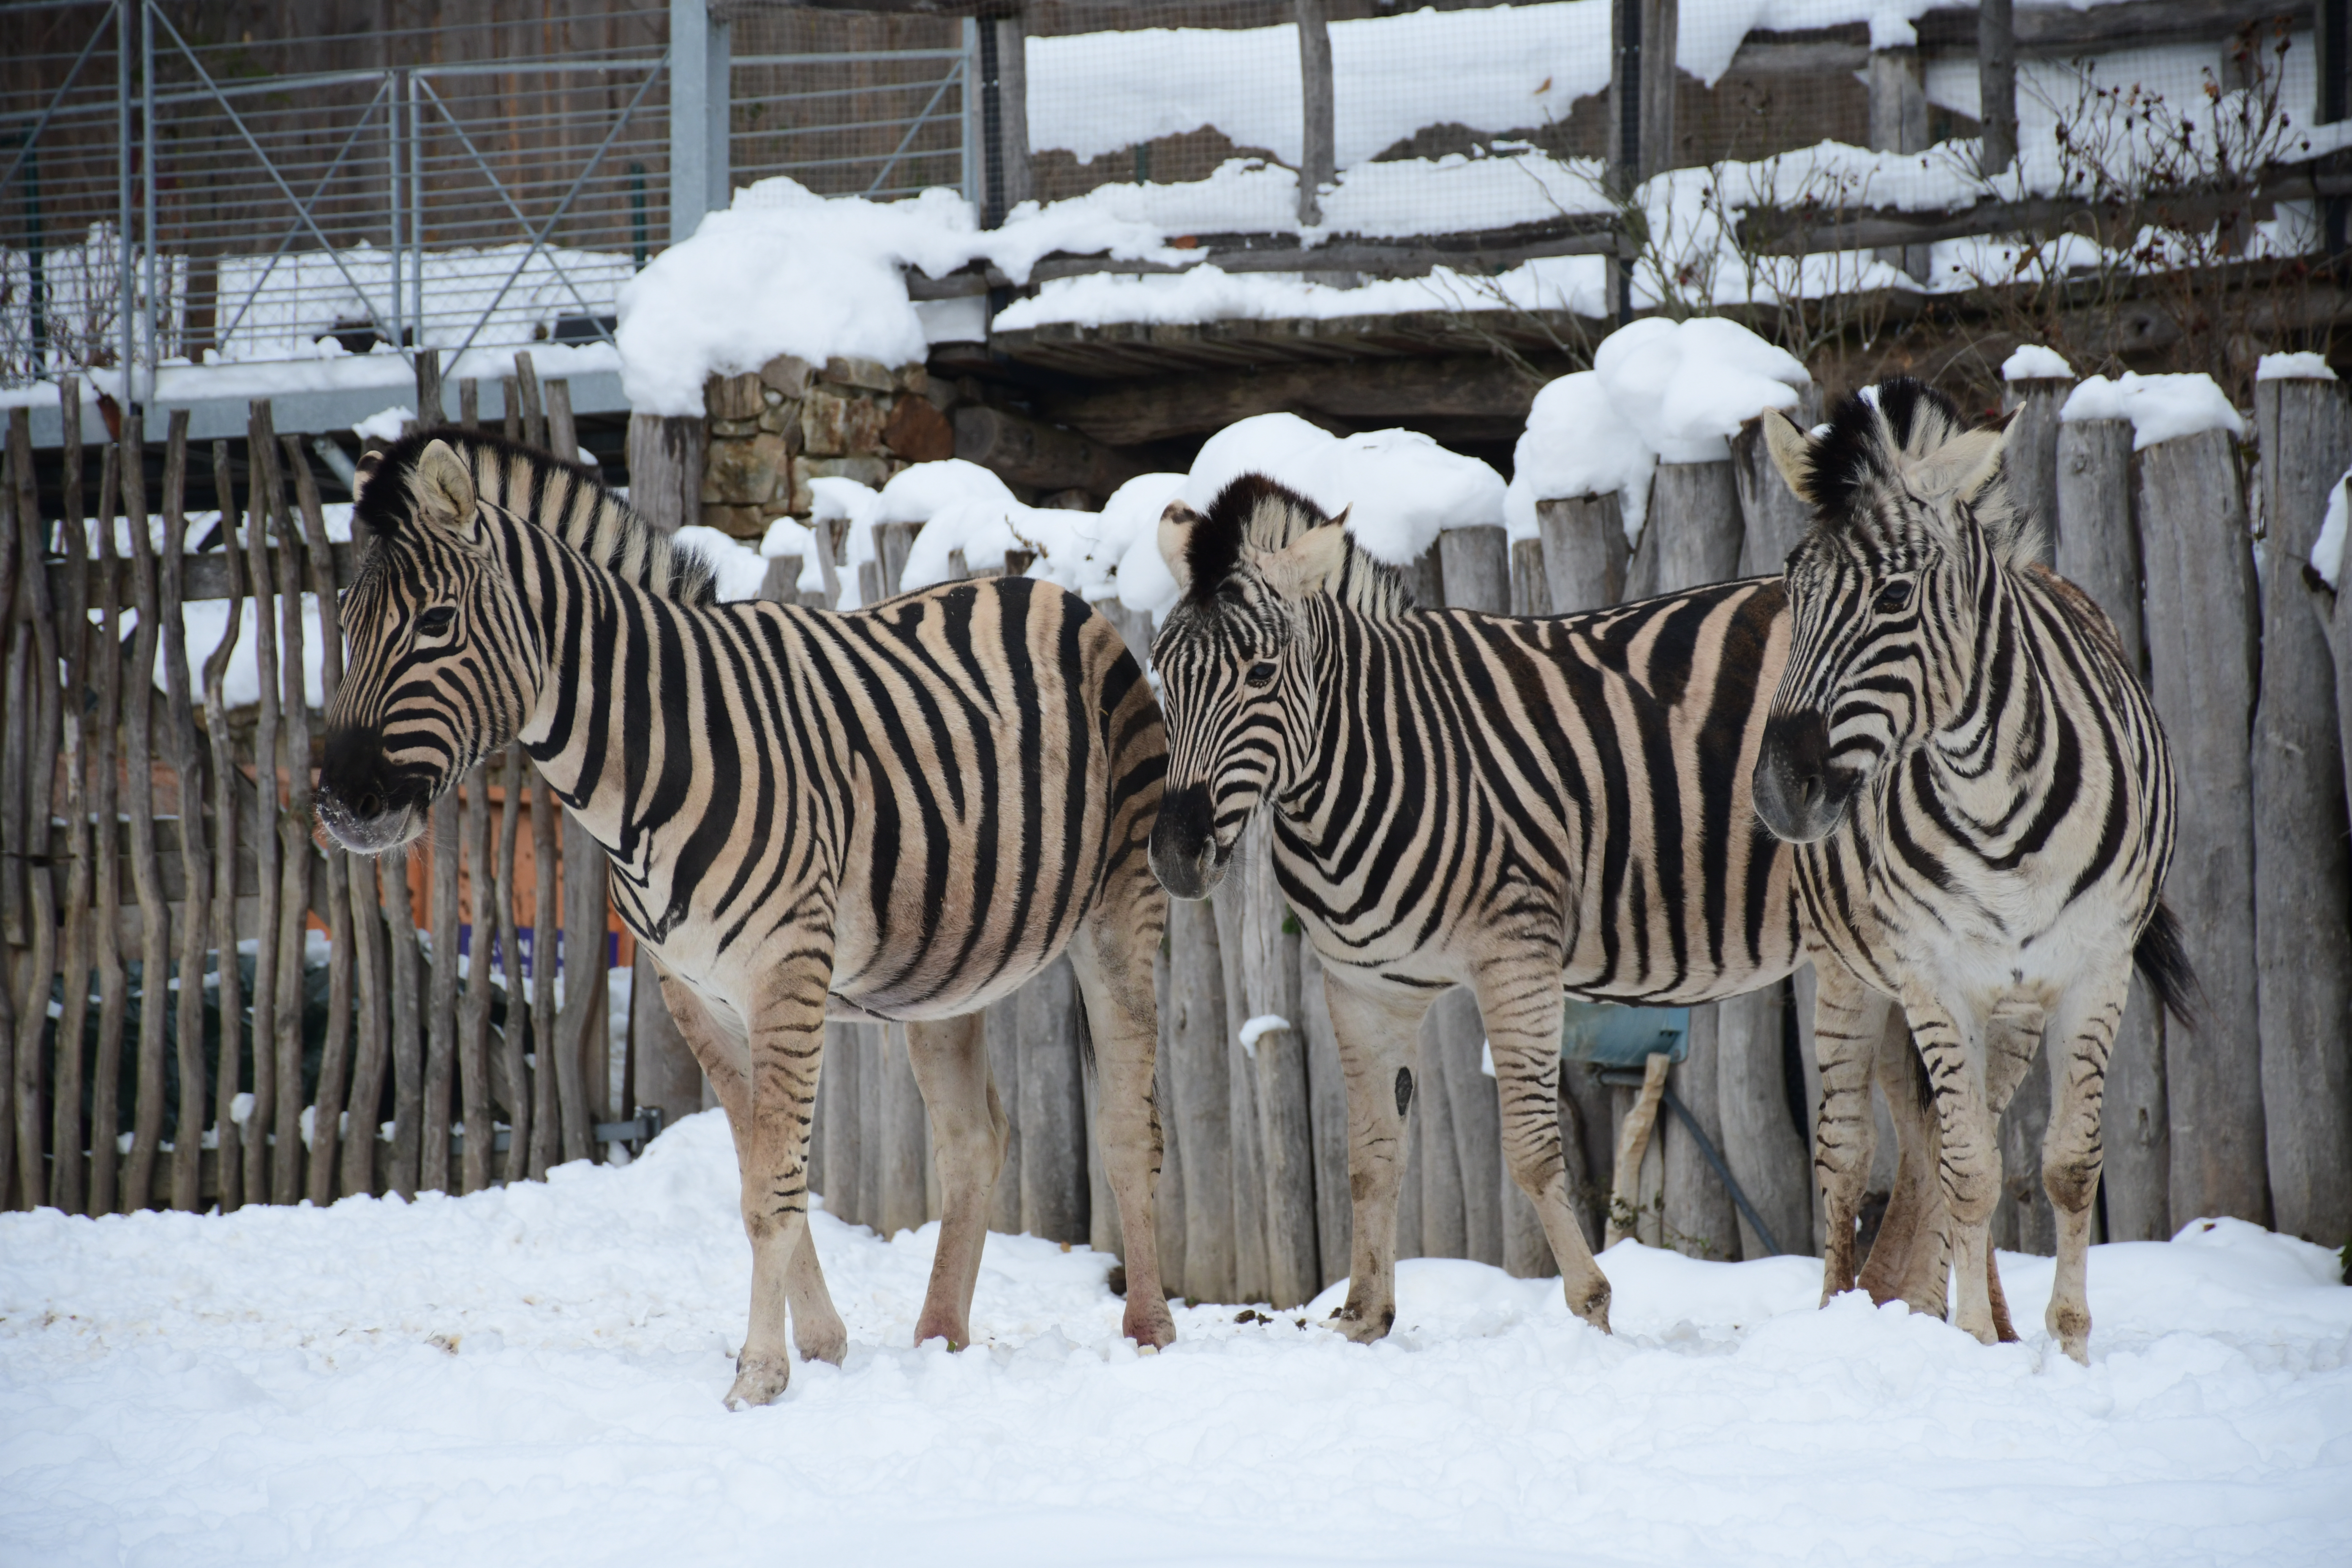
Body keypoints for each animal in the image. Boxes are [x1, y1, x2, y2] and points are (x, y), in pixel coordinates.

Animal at [314, 431, 1174, 1408]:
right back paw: (938, 1339)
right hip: (943, 973)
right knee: (973, 1142)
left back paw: (1148, 1332)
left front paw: (761, 1374)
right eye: (345, 626)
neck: (649, 766)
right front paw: (822, 1345)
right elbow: (758, 1168)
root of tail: (1047, 592)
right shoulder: (694, 991)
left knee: (1129, 1127)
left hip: (1118, 916)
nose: (341, 803)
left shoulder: (786, 970)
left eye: (435, 622)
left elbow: (772, 1186)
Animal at [1147, 473, 1817, 1341]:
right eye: (1160, 675)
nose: (1173, 854)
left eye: (1260, 674)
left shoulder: (1516, 958)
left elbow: (1531, 1150)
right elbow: (1370, 1155)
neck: (1357, 776)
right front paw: (1362, 1321)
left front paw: (1592, 1312)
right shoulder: (1362, 989)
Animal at [1752, 379, 2189, 1362]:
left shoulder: (2093, 972)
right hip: (1848, 978)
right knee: (1848, 1155)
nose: (1779, 790)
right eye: (1791, 591)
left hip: (2010, 1011)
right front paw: (1974, 1343)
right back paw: (1842, 1315)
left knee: (1966, 1130)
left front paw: (2066, 1346)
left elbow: (2064, 1166)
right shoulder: (1932, 978)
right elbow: (1965, 1171)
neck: (1998, 808)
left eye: (1895, 594)